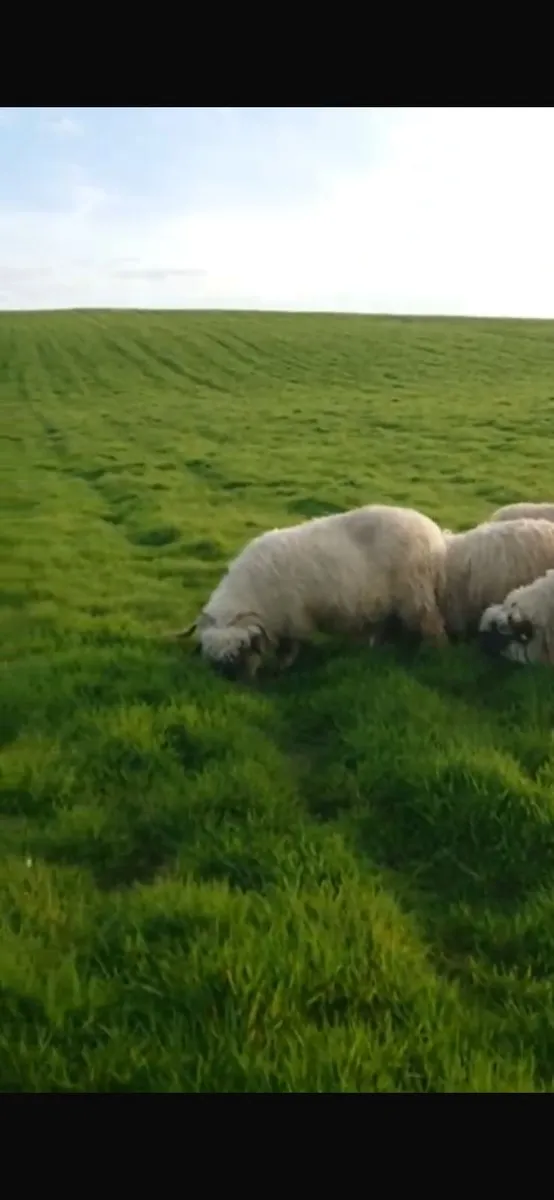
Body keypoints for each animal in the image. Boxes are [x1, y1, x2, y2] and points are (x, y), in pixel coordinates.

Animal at [173, 504, 448, 679]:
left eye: (241, 649)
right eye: (212, 660)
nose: (234, 683)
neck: (253, 591)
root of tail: (435, 533)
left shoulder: (292, 620)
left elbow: (288, 649)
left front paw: (282, 668)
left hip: (416, 596)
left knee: (432, 627)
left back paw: (434, 655)